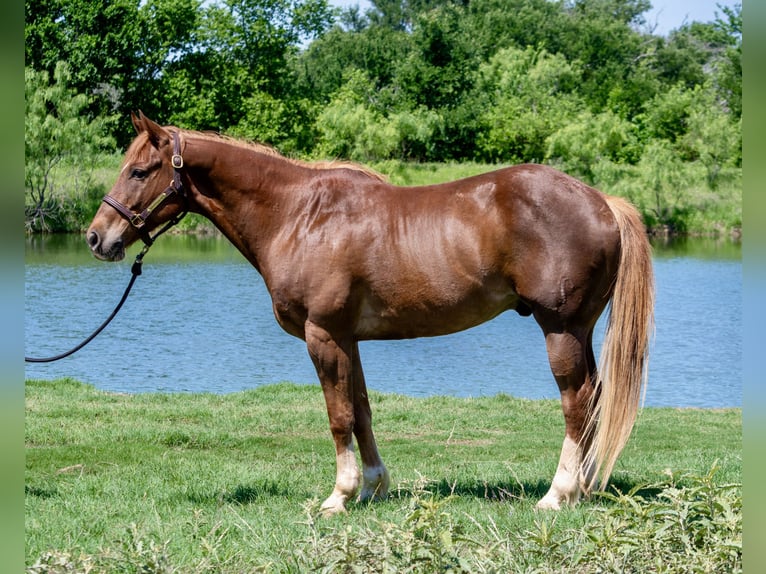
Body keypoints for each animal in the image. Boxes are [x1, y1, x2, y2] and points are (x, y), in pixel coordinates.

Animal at [86, 112, 654, 514]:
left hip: (560, 328)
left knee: (577, 403)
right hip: (579, 331)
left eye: (139, 170)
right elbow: (360, 410)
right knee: (595, 400)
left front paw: (339, 496)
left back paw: (558, 495)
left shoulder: (322, 335)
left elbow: (338, 416)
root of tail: (602, 201)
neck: (299, 215)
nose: (96, 238)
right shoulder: (347, 339)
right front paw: (373, 488)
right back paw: (584, 488)